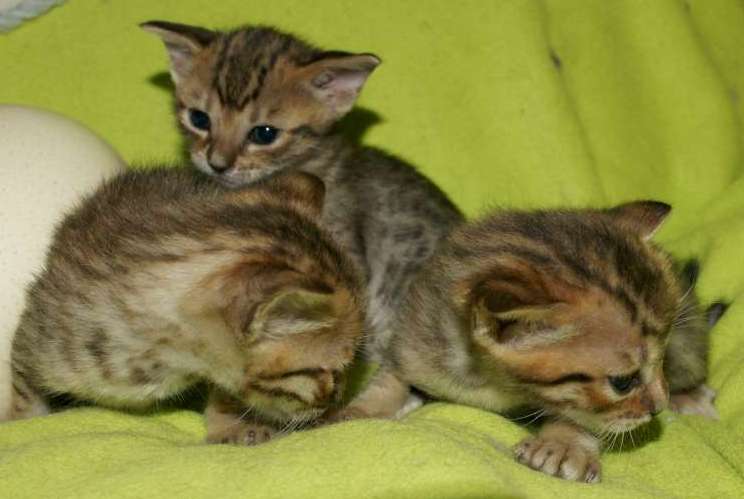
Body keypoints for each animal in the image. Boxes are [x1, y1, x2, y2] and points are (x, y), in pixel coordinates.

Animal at [3, 167, 365, 445]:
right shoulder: (35, 337)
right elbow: (24, 391)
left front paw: (231, 425)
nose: (338, 399)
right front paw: (21, 424)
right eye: (329, 371)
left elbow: (224, 391)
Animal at [333, 201, 723, 482]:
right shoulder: (413, 345)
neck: (491, 382)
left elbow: (579, 415)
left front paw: (562, 446)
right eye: (623, 382)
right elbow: (389, 382)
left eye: (658, 362)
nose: (658, 407)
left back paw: (690, 397)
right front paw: (357, 411)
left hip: (689, 340)